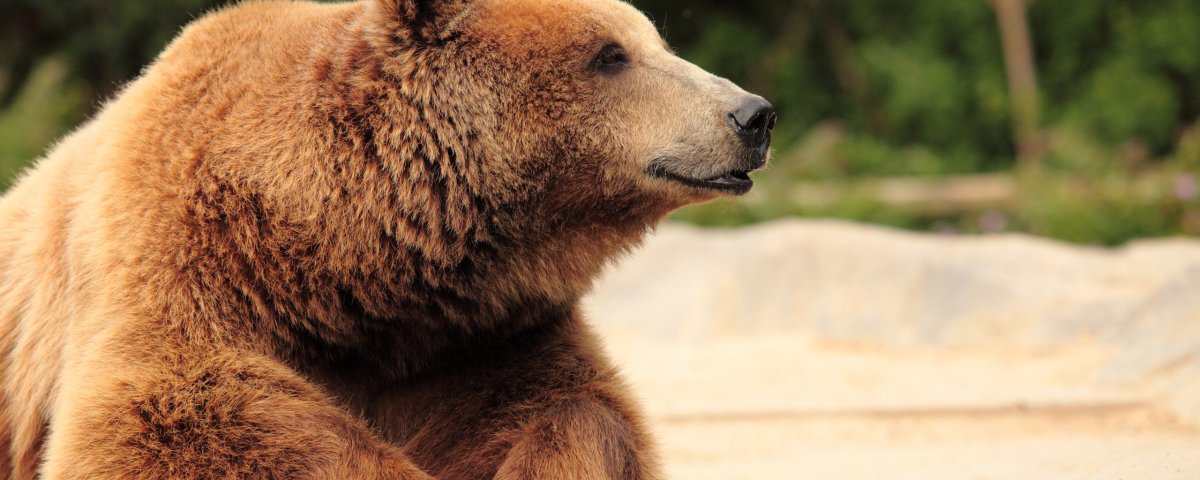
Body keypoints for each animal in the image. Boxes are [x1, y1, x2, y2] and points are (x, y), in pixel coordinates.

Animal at [0, 0, 775, 478]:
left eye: (658, 42)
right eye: (610, 55)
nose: (752, 114)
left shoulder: (473, 337)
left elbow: (574, 410)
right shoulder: (179, 264)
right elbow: (181, 417)